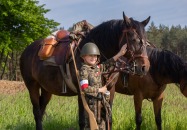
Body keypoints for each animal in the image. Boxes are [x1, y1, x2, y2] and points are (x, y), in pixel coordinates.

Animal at [19, 13, 150, 130]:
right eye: (133, 39)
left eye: (146, 40)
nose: (144, 67)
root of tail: (27, 50)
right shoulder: (81, 91)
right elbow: (83, 121)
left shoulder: (110, 90)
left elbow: (108, 119)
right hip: (32, 86)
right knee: (37, 113)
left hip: (47, 90)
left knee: (41, 112)